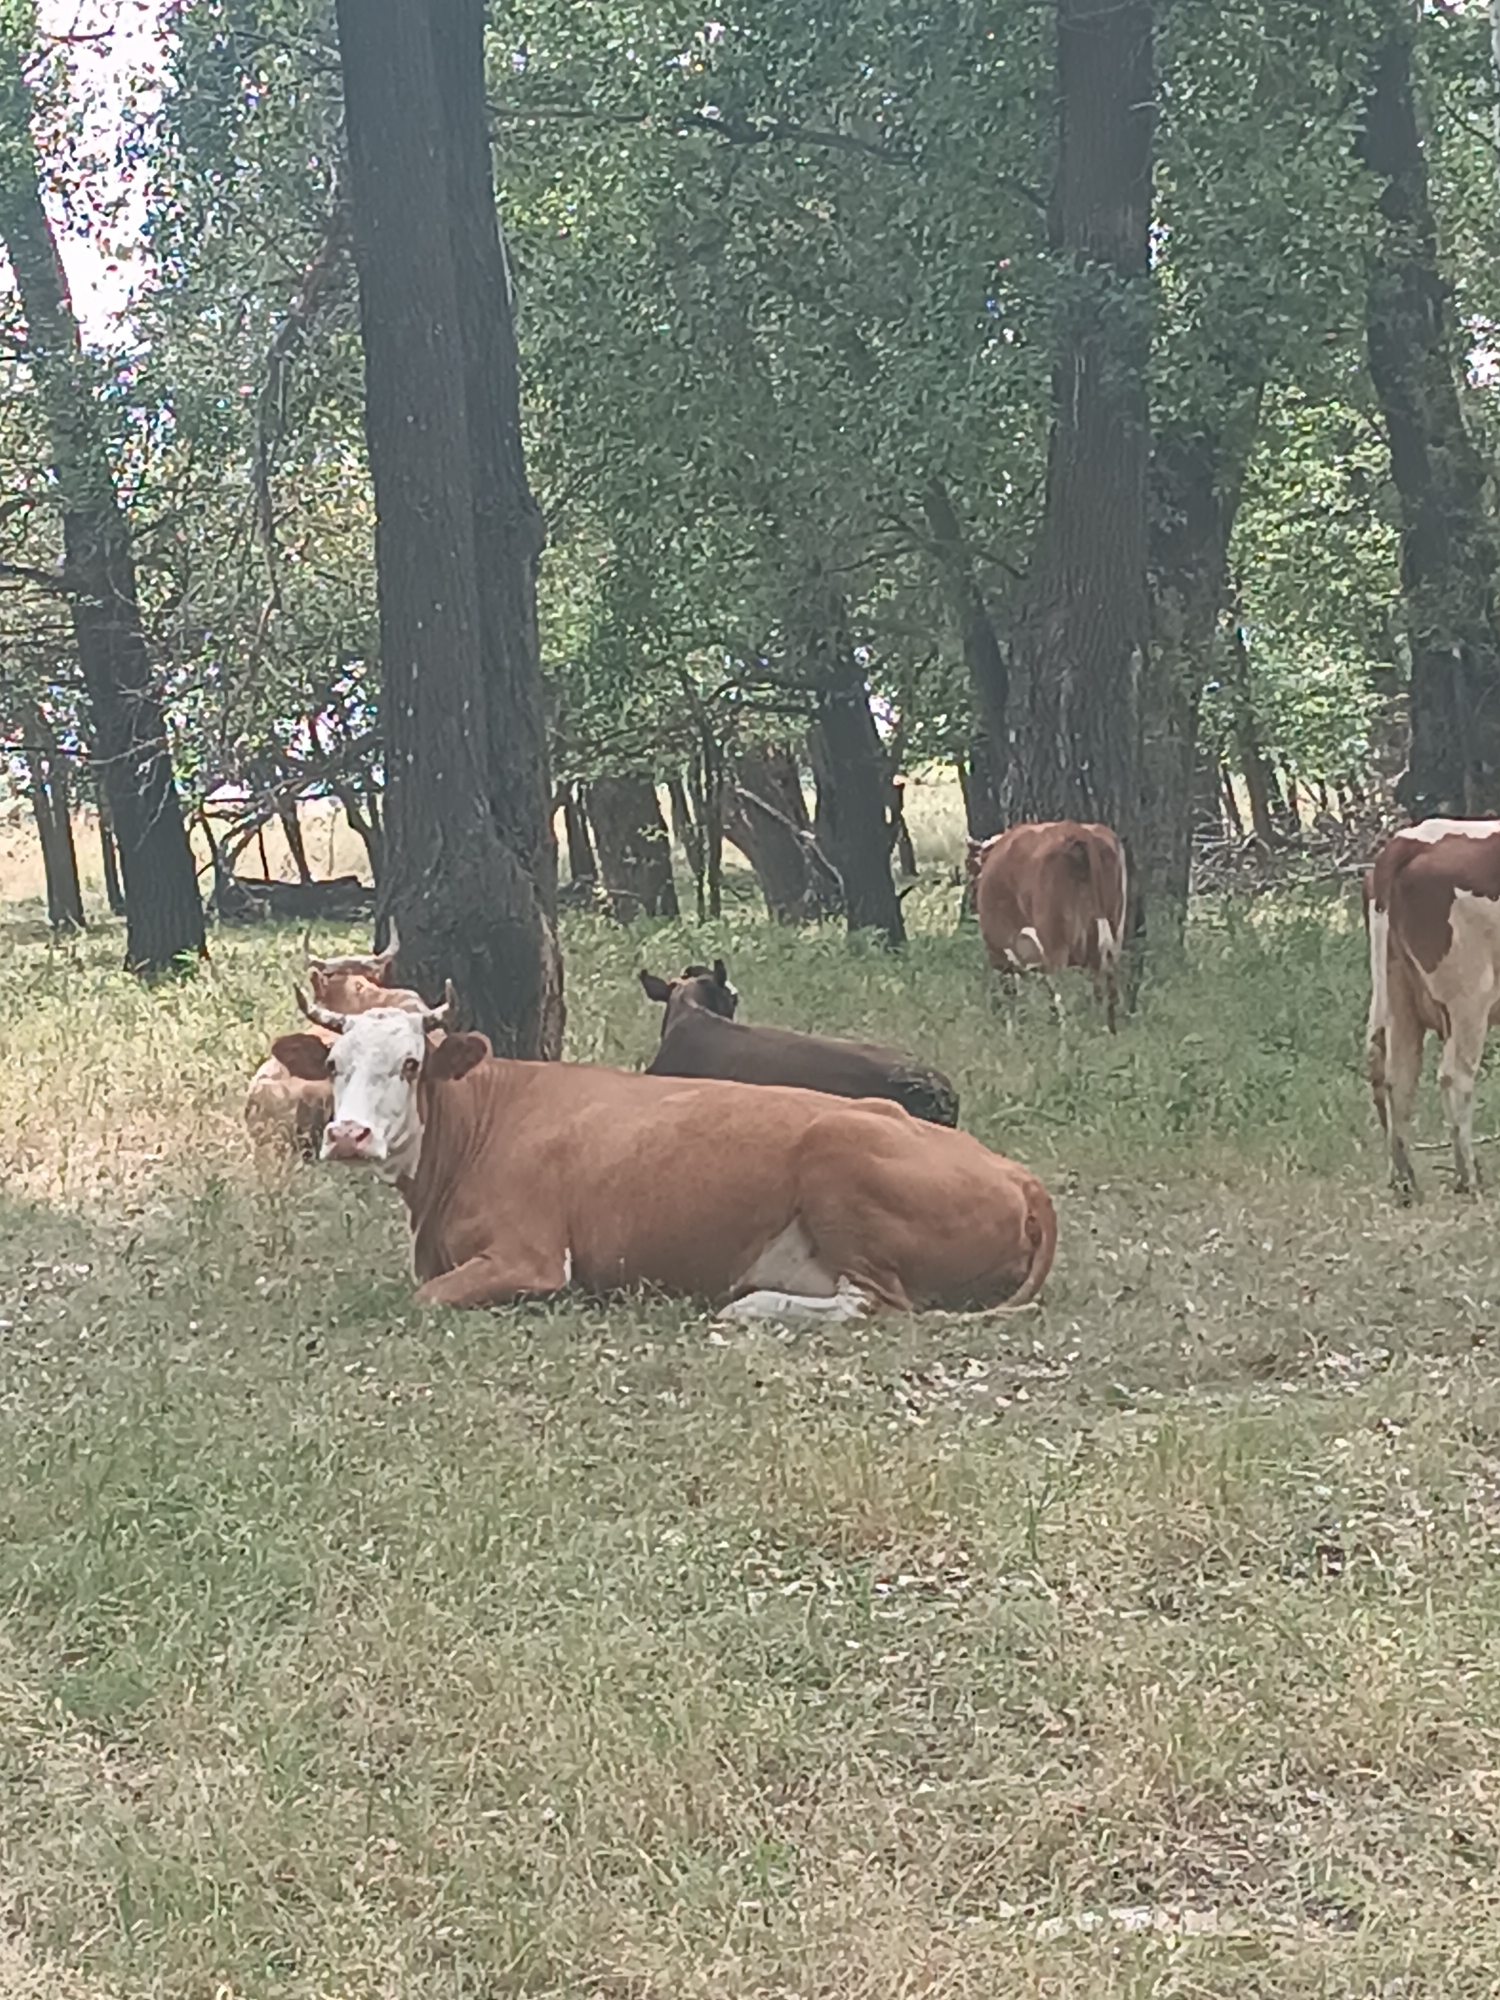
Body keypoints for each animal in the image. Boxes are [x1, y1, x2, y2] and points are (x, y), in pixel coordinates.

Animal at [267, 986, 1056, 1318]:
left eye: (409, 1064)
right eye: (333, 1064)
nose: (348, 1136)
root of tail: (1018, 1174)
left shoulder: (531, 1257)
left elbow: (426, 1297)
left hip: (840, 1155)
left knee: (873, 1303)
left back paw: (750, 1307)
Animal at [967, 820, 1128, 1031]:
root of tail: (1079, 831)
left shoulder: (999, 950)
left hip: (1055, 943)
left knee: (1062, 990)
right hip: (1113, 931)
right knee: (1106, 983)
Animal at [1364, 818, 1500, 1196]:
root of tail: (1410, 841)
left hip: (1394, 992)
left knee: (1392, 1072)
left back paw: (1404, 1180)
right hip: (1469, 996)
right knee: (1455, 1075)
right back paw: (1469, 1178)